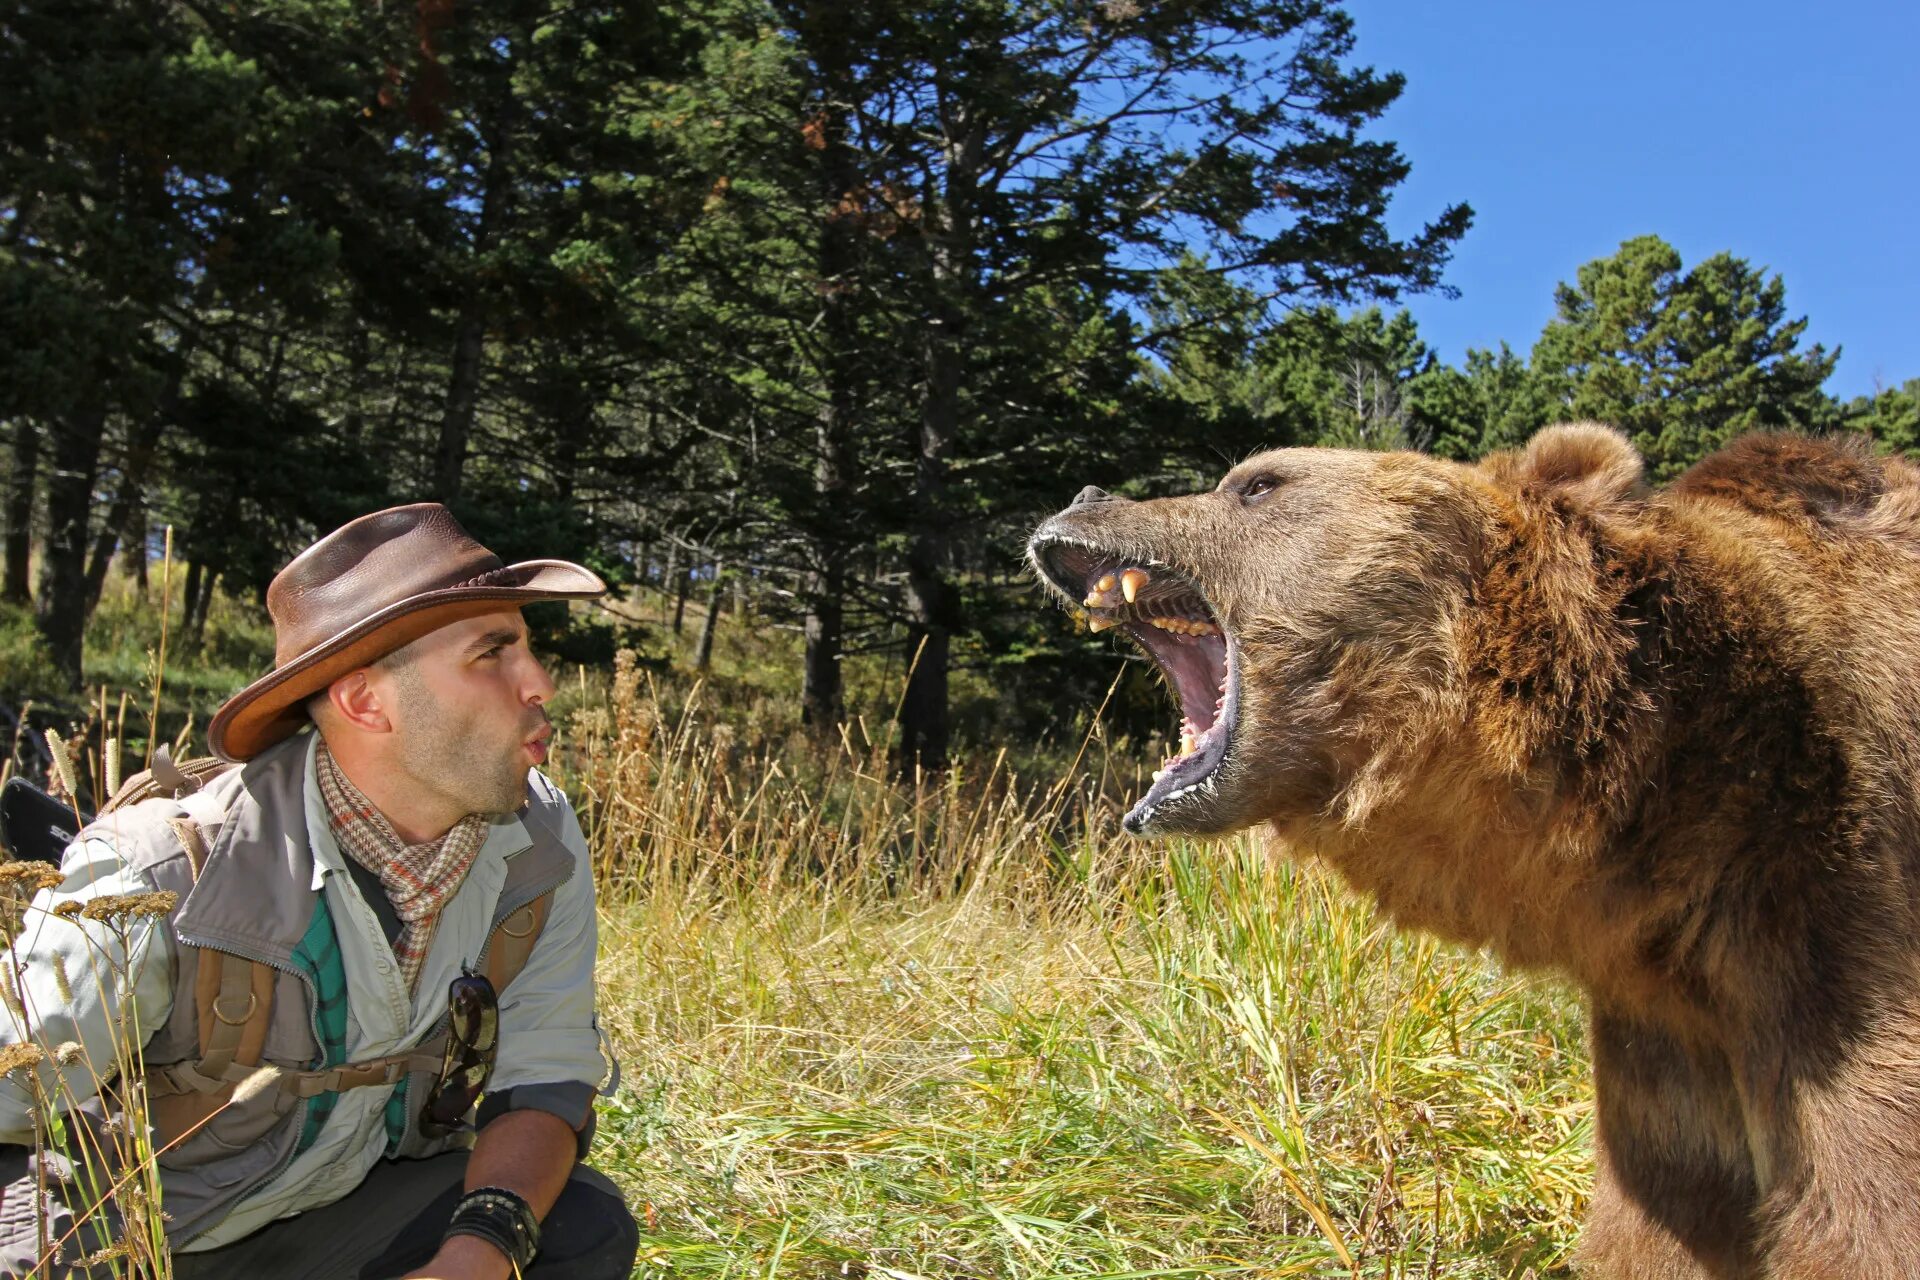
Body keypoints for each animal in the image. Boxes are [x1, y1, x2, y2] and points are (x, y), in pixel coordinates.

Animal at [1036, 429, 1920, 1280]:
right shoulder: (1662, 1016)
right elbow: (1674, 1213)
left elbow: (1862, 1201)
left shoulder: (1833, 903)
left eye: (1257, 482)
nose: (1084, 495)